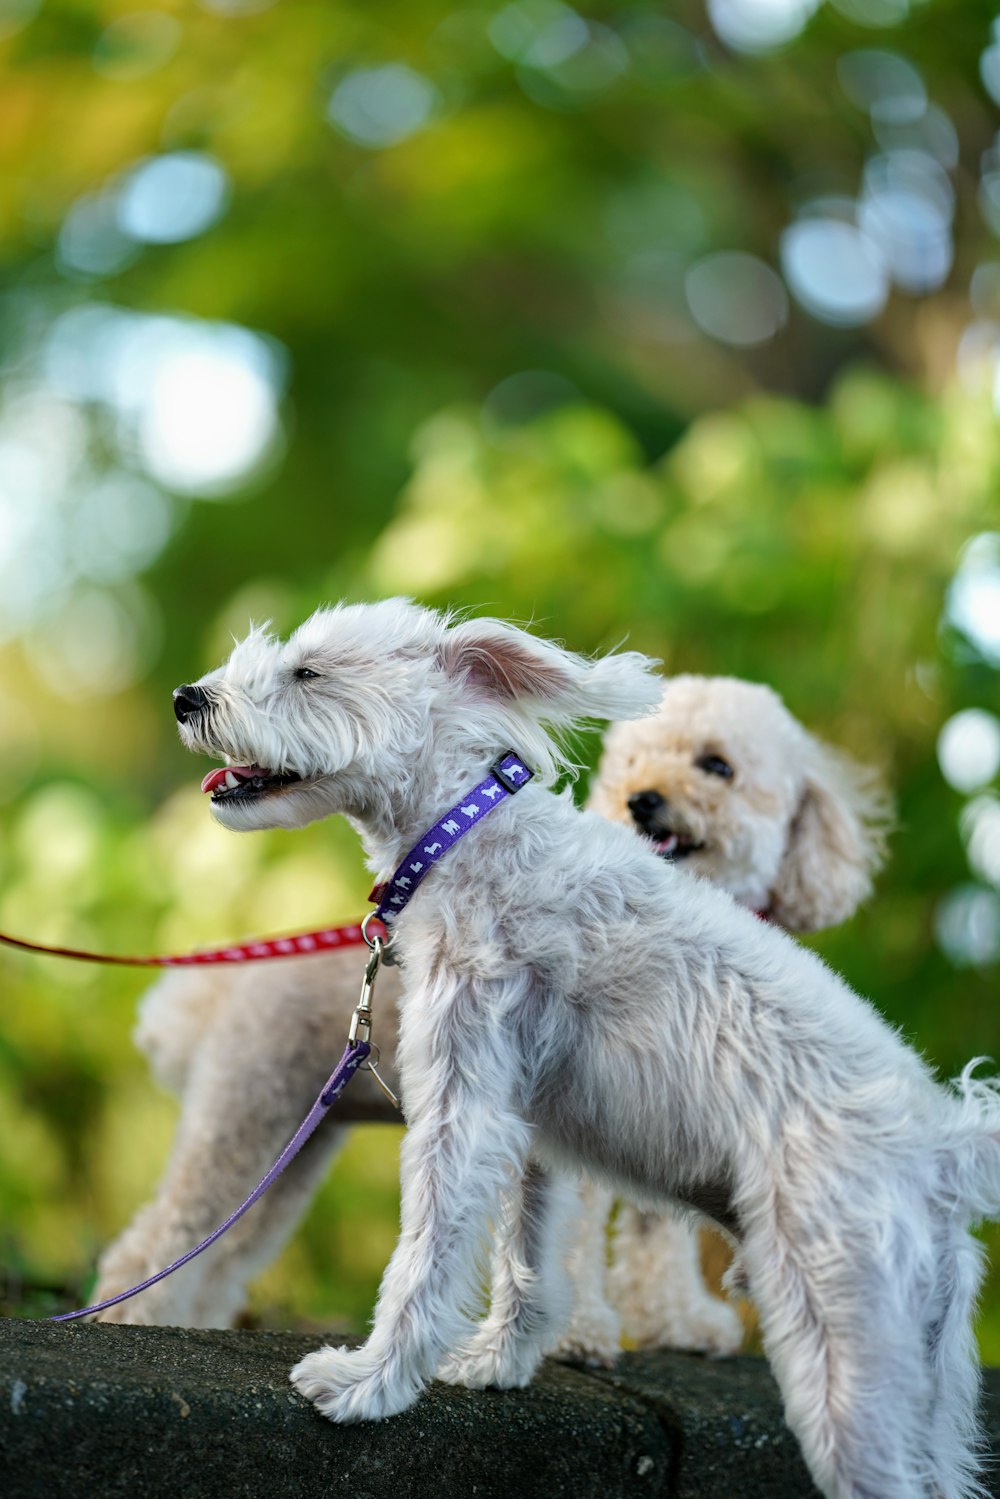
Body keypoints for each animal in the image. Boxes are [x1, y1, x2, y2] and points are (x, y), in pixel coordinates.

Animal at [173, 599, 1000, 1499]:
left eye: (308, 672)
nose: (187, 696)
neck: (469, 837)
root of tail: (946, 1148)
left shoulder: (464, 1108)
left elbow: (425, 1257)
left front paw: (368, 1383)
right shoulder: (531, 1129)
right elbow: (529, 1261)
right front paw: (498, 1363)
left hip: (848, 1357)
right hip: (920, 1380)